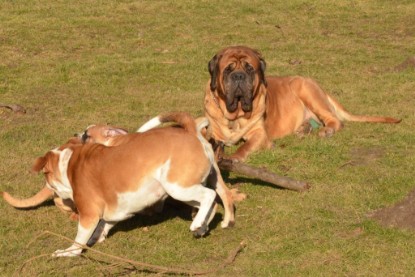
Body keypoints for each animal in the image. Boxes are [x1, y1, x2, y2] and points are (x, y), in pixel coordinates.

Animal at [206, 45, 402, 161]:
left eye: (249, 69)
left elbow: (245, 146)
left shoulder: (259, 134)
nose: (239, 76)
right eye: (228, 70)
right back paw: (303, 129)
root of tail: (321, 88)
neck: (235, 115)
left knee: (335, 120)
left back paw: (326, 130)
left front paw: (234, 157)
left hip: (306, 89)